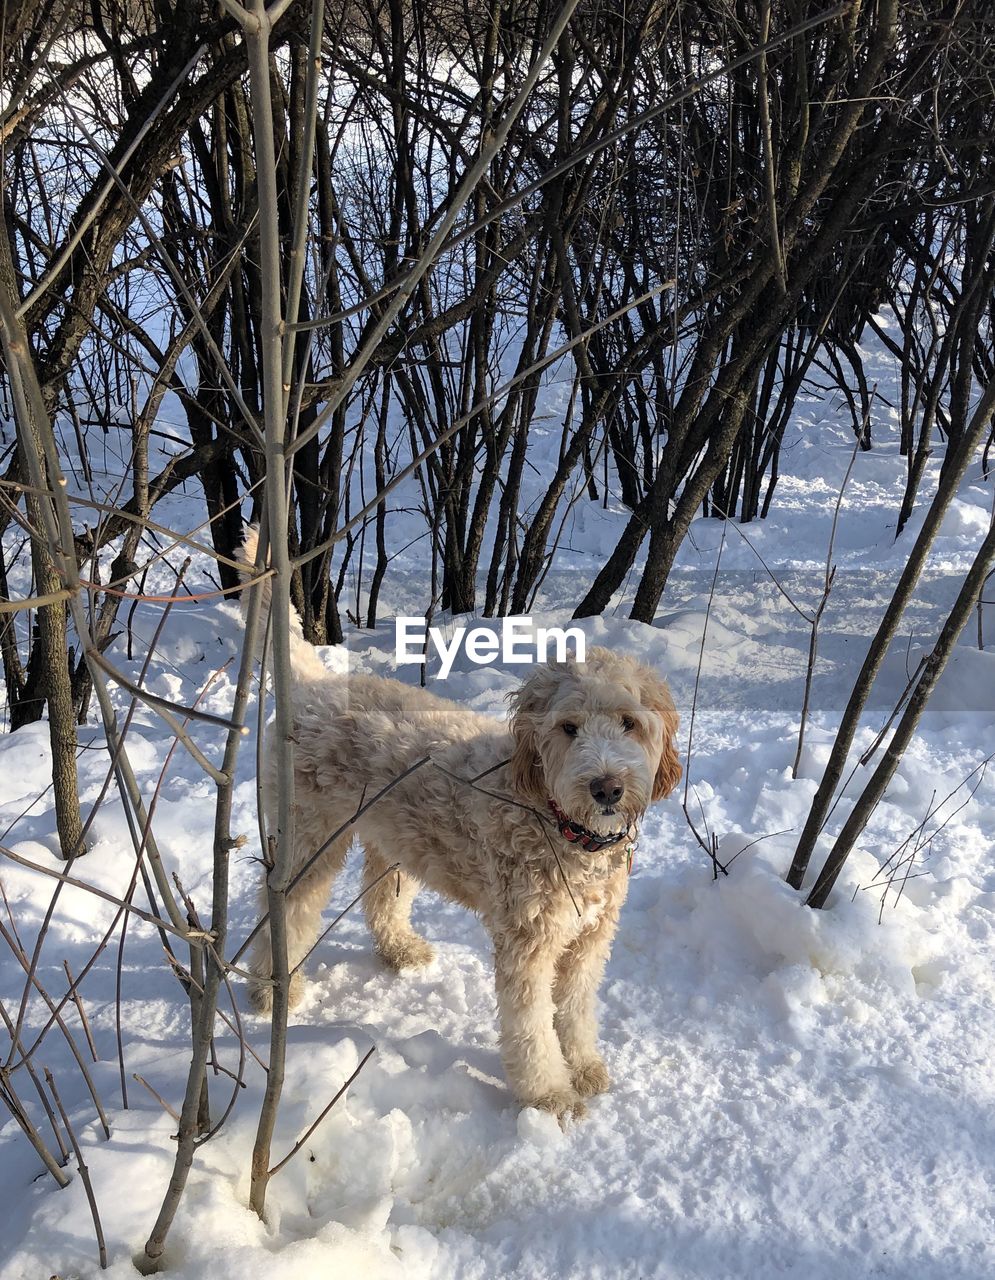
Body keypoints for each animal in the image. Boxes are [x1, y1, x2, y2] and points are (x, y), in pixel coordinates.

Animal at [238, 524, 681, 1116]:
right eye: (568, 728)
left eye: (630, 722)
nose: (606, 787)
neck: (560, 825)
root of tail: (312, 686)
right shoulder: (529, 941)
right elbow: (531, 1027)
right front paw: (550, 1094)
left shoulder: (589, 939)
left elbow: (576, 1009)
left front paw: (584, 1066)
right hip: (309, 837)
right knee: (284, 911)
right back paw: (270, 989)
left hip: (396, 840)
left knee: (382, 901)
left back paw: (400, 949)